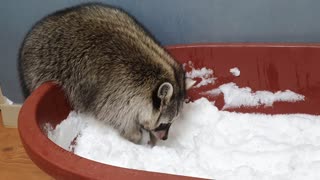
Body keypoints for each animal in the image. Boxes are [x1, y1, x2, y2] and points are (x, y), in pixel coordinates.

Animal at [20, 2, 196, 145]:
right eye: (164, 123)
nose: (165, 138)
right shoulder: (117, 96)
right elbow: (120, 119)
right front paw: (136, 137)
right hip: (37, 71)